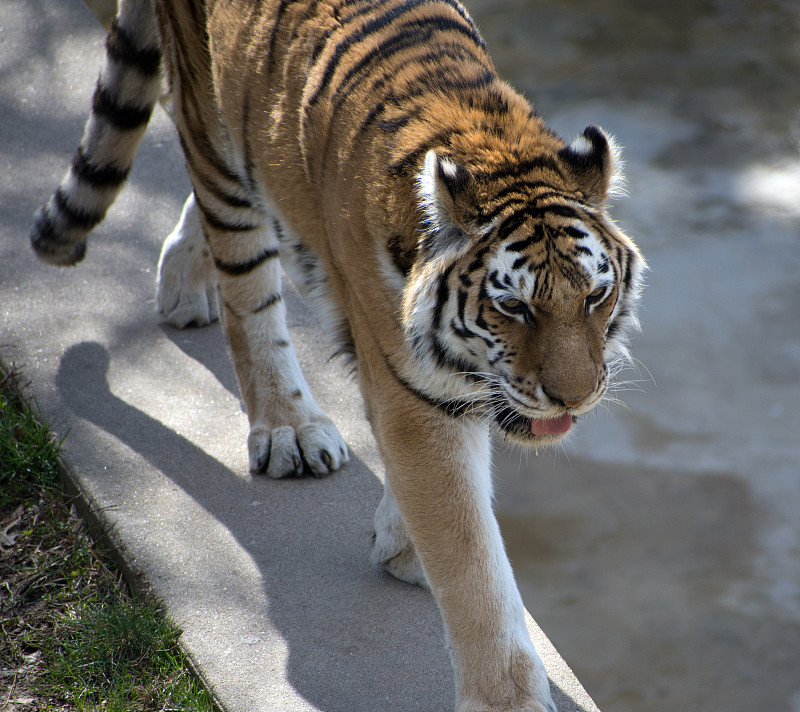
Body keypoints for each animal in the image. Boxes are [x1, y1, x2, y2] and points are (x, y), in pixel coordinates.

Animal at [31, 1, 648, 712]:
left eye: (596, 295)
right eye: (514, 307)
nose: (575, 398)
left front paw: (400, 545)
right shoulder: (412, 392)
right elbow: (472, 563)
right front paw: (507, 698)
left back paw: (185, 281)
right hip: (214, 135)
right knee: (246, 290)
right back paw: (288, 427)